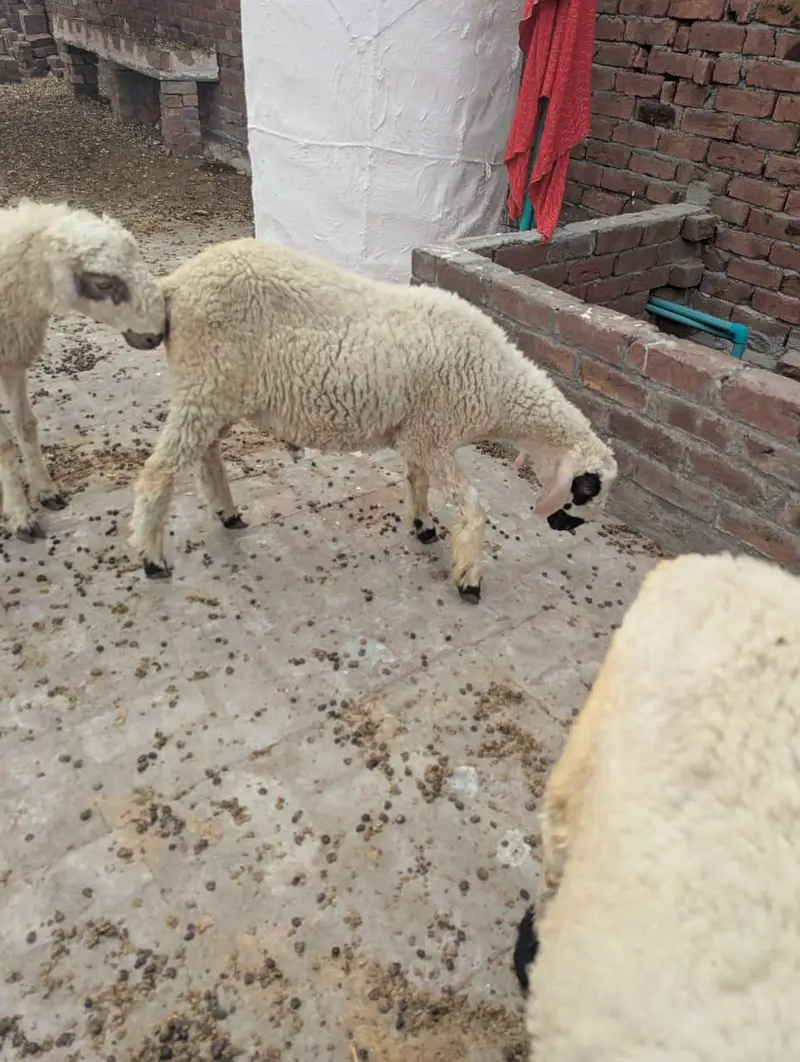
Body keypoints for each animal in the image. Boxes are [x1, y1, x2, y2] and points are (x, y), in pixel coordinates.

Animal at [0, 199, 165, 541]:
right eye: (103, 283)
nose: (154, 336)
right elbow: (3, 443)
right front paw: (20, 515)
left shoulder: (11, 354)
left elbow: (25, 424)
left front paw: (45, 491)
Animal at [122, 237, 618, 601]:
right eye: (586, 489)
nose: (566, 527)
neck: (498, 386)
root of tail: (175, 285)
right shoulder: (436, 434)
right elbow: (475, 508)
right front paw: (469, 578)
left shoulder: (419, 433)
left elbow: (417, 481)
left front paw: (423, 527)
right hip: (203, 387)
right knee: (157, 472)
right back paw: (153, 559)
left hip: (216, 394)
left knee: (206, 454)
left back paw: (227, 514)